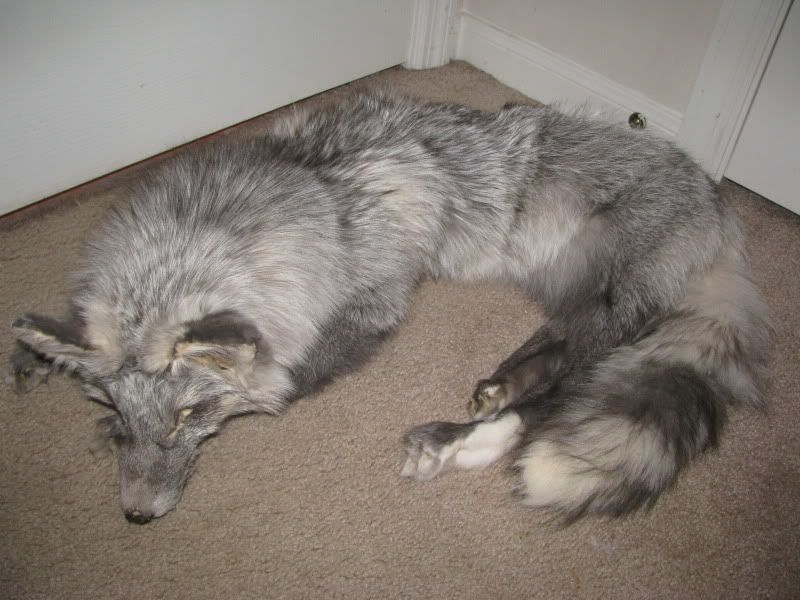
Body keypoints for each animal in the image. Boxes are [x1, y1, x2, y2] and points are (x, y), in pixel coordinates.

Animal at [10, 90, 771, 524]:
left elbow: (287, 381)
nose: (138, 517)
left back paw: (465, 439)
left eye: (190, 416)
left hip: (616, 299)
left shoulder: (371, 303)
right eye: (121, 410)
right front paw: (39, 360)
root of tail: (719, 205)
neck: (309, 184)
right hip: (575, 290)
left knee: (575, 382)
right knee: (558, 350)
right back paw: (502, 386)